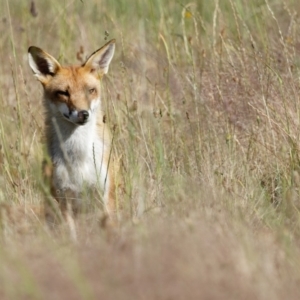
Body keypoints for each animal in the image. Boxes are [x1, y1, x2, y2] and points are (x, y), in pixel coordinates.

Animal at [27, 38, 116, 225]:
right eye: (63, 93)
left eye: (90, 91)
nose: (83, 114)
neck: (78, 157)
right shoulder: (63, 200)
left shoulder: (105, 196)